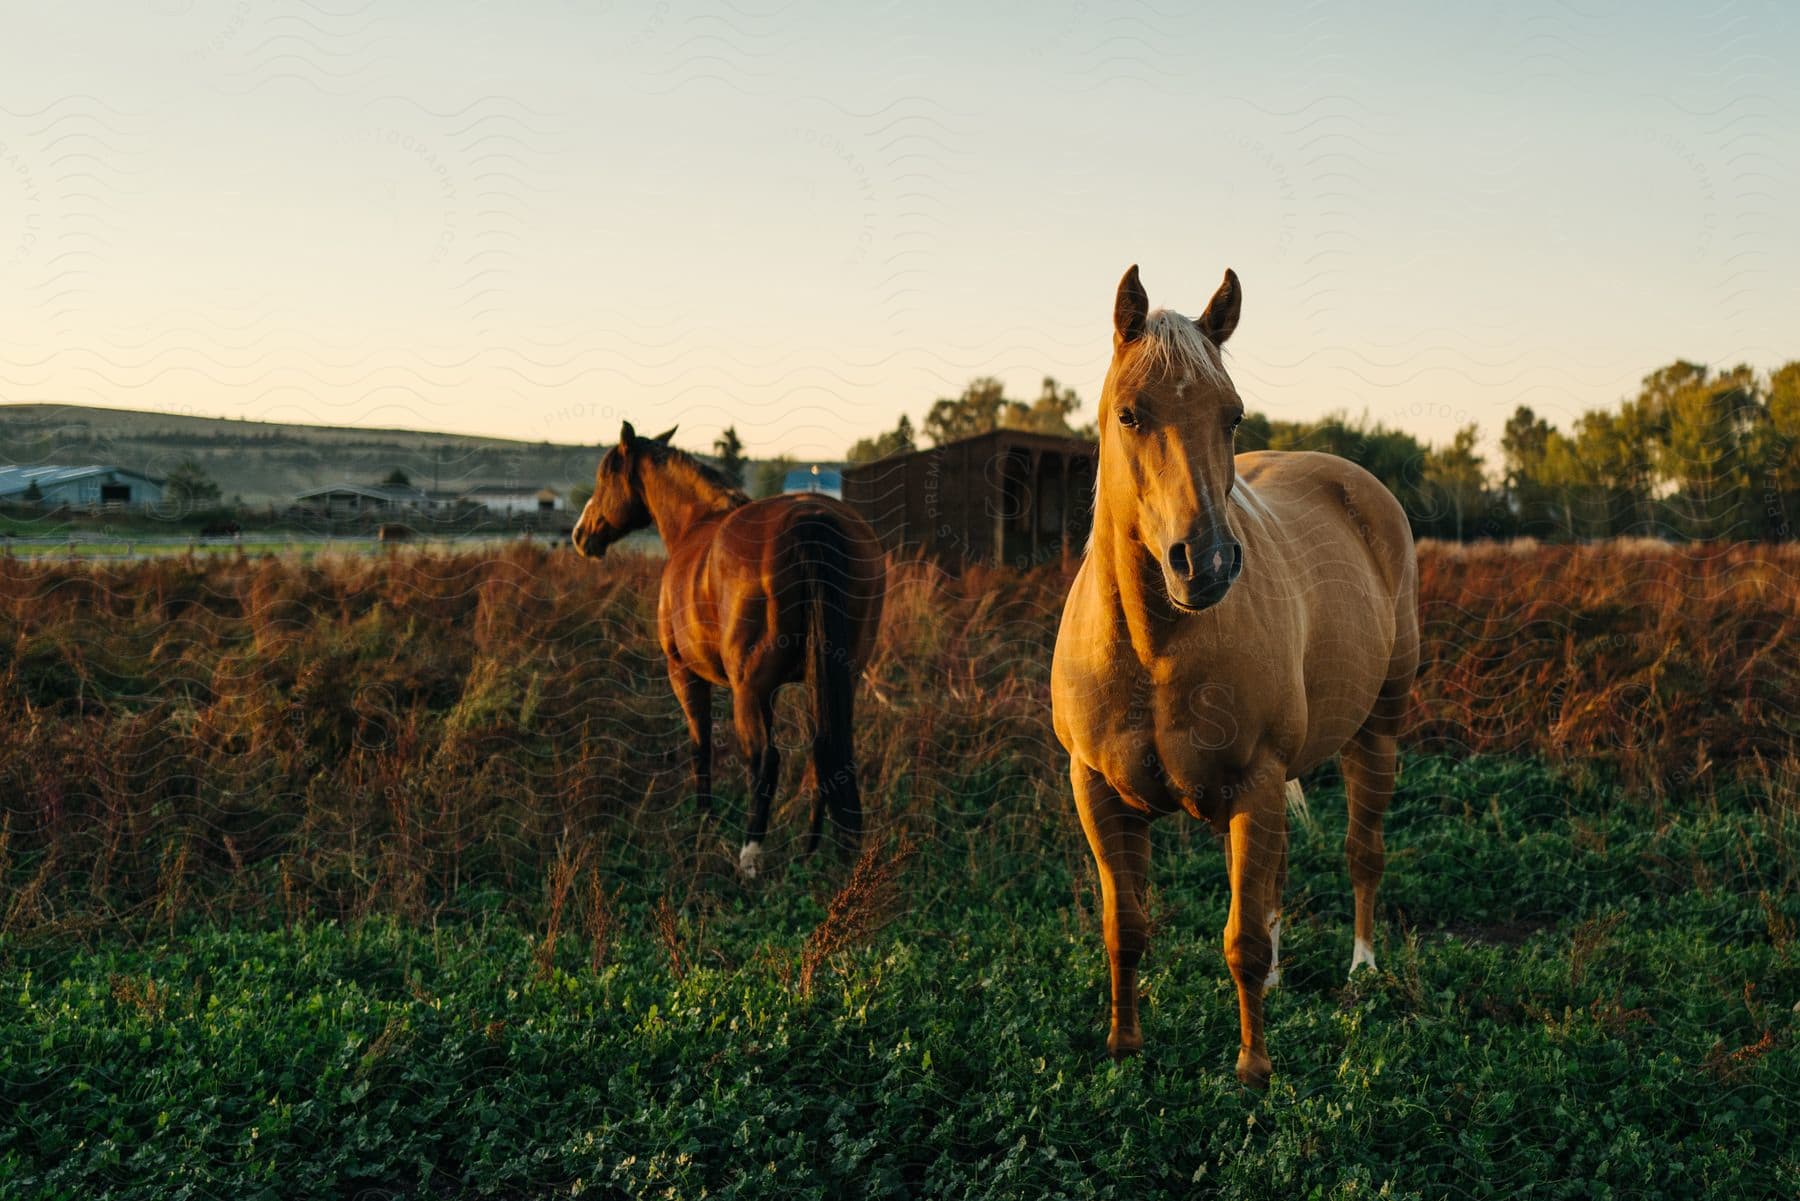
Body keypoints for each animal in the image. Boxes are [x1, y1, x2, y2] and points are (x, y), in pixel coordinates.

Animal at [576, 423, 885, 875]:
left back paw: (750, 855)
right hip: (838, 677)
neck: (694, 523)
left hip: (748, 689)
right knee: (824, 751)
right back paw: (812, 851)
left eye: (605, 477)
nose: (581, 535)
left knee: (765, 760)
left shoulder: (685, 673)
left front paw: (704, 821)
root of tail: (813, 520)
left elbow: (700, 745)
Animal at [1051, 268, 1418, 1094]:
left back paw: (1362, 972)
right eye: (1131, 413)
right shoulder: (1097, 789)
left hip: (1376, 731)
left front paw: (1254, 1068)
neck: (1153, 648)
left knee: (1363, 852)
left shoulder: (1256, 780)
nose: (1209, 563)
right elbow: (1126, 925)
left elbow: (1241, 937)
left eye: (1234, 414)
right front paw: (1124, 1046)